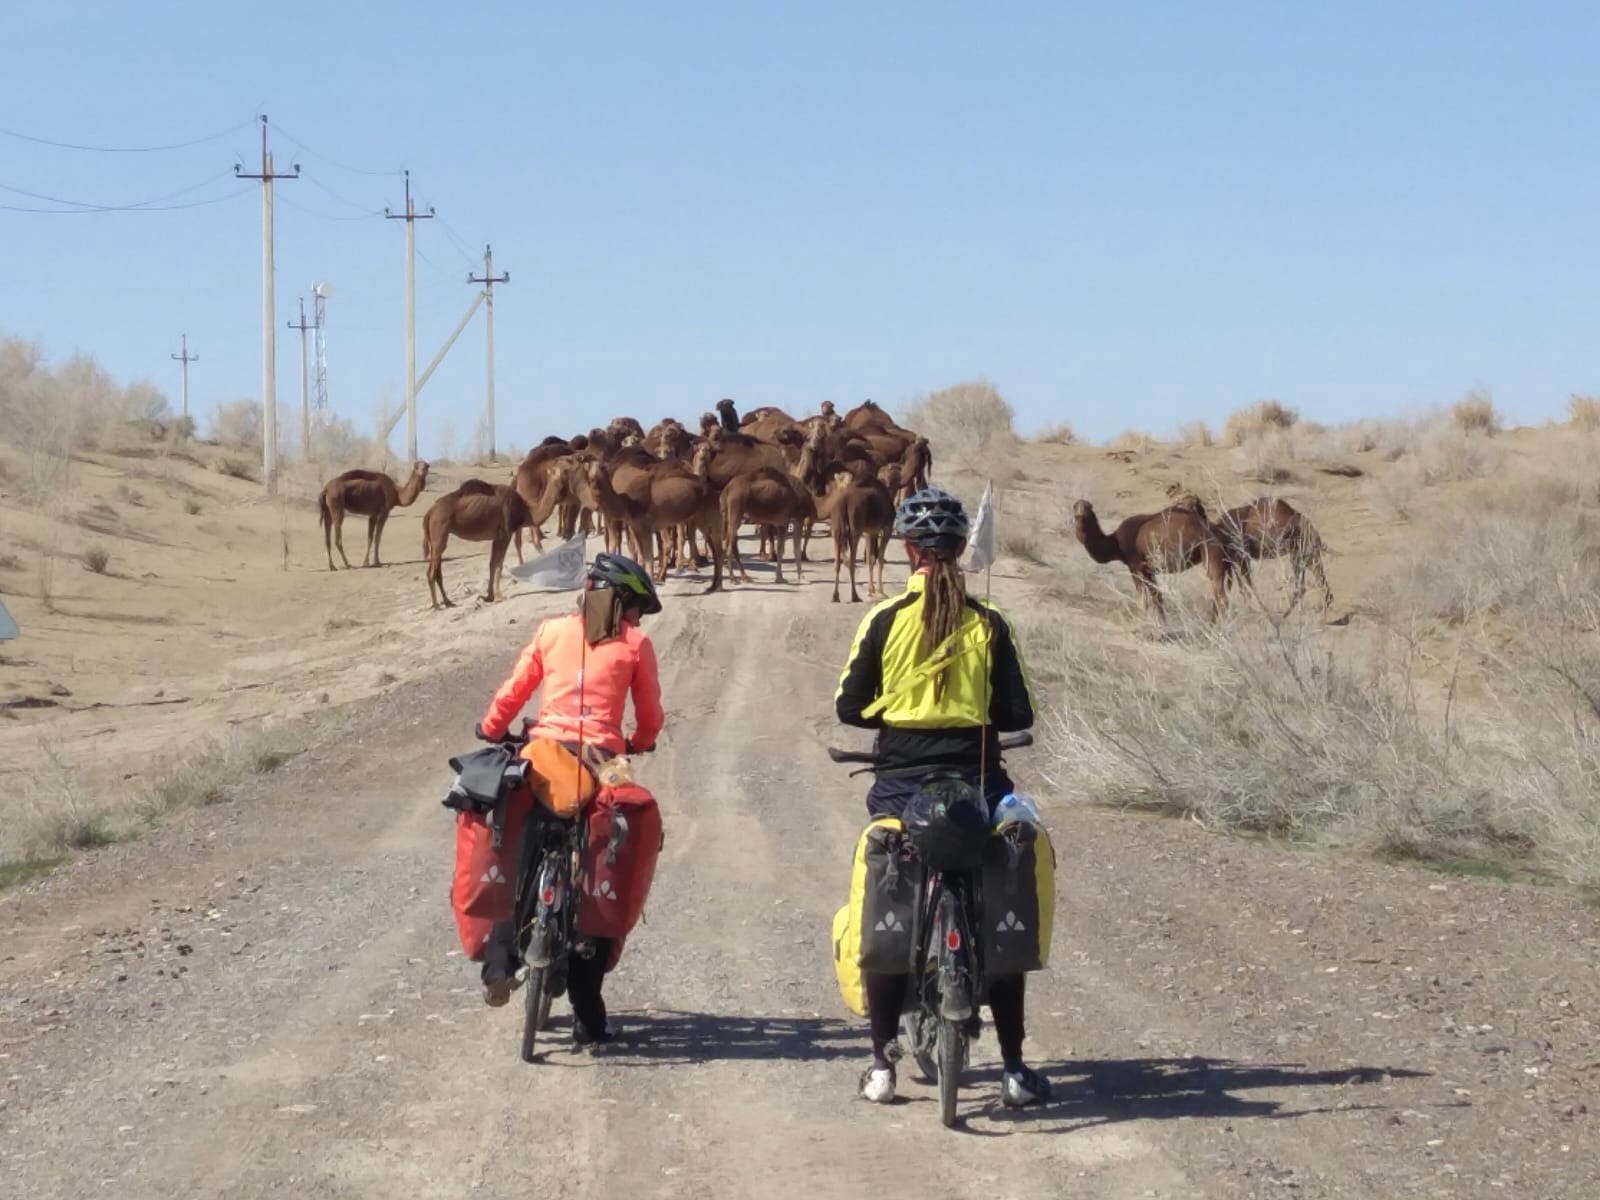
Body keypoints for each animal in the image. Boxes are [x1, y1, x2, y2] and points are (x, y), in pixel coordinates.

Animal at [422, 483, 528, 611]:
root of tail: (430, 512)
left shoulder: (497, 536)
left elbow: (493, 564)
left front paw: (490, 597)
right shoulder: (505, 533)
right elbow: (498, 564)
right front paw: (498, 597)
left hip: (435, 539)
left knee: (435, 571)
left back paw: (448, 602)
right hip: (439, 533)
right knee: (432, 572)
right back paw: (437, 605)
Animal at [1075, 499, 1235, 624]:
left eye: (1088, 507)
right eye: (1075, 507)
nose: (1080, 513)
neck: (1115, 543)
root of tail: (1221, 533)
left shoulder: (1136, 566)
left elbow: (1144, 599)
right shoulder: (1147, 570)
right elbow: (1157, 596)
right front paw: (1162, 623)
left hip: (1211, 551)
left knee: (1221, 597)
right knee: (1219, 594)